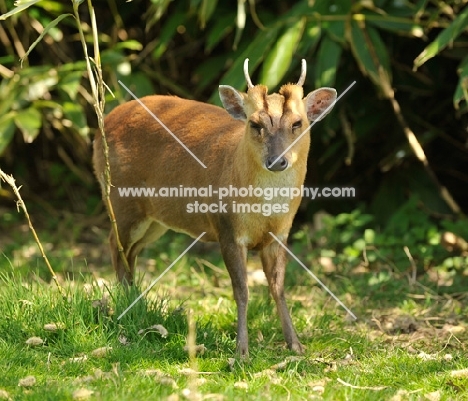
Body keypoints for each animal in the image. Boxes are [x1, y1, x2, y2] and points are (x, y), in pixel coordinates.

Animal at [94, 57, 336, 354]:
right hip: (121, 199)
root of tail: (102, 125)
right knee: (114, 246)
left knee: (131, 252)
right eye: (255, 124)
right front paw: (241, 350)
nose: (277, 161)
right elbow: (242, 290)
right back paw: (126, 308)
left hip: (155, 219)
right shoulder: (227, 229)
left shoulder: (280, 233)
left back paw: (136, 303)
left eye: (297, 123)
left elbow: (278, 288)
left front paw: (296, 346)